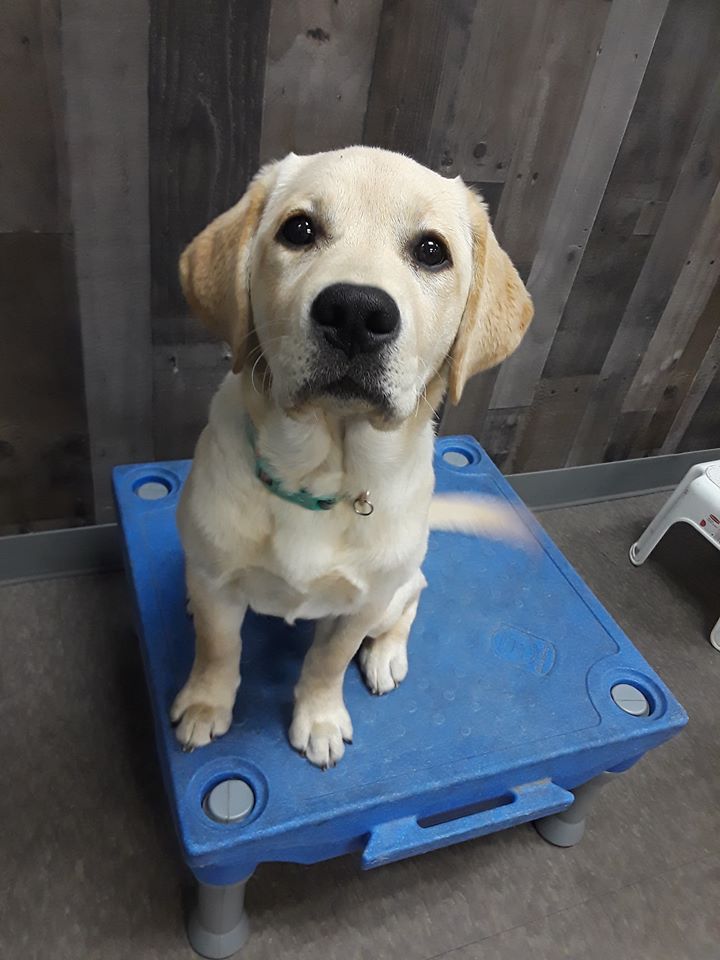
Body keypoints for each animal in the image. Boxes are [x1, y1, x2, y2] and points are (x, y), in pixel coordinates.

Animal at [171, 147, 533, 768]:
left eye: (432, 250)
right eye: (298, 229)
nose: (356, 313)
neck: (321, 476)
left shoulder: (360, 605)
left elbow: (327, 662)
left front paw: (318, 719)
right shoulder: (218, 579)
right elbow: (218, 648)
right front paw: (204, 704)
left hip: (396, 586)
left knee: (413, 596)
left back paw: (387, 654)